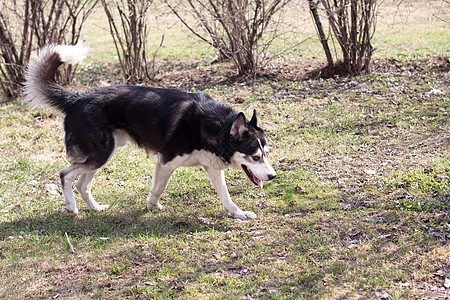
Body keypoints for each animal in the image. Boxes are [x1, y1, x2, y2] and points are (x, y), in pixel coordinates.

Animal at [23, 43, 278, 219]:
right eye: (255, 156)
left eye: (267, 154)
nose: (273, 176)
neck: (215, 126)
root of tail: (77, 98)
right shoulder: (165, 163)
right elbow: (158, 189)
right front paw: (151, 206)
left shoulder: (212, 167)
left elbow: (226, 197)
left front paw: (238, 214)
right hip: (99, 155)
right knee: (65, 174)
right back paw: (71, 207)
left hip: (101, 156)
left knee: (81, 184)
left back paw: (95, 208)